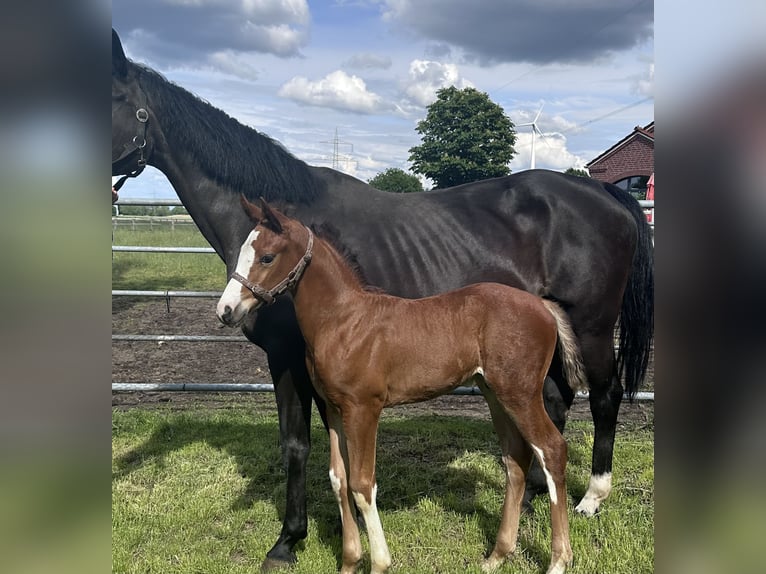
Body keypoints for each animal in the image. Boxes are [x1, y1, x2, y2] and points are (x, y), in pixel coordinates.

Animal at [217, 197, 589, 574]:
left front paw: (379, 563)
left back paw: (558, 560)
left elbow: (362, 484)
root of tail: (542, 304)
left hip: (521, 394)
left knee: (551, 450)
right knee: (515, 459)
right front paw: (349, 562)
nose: (226, 310)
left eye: (267, 257)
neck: (343, 321)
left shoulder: (364, 408)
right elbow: (339, 479)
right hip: (495, 394)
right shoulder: (335, 409)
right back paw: (497, 555)